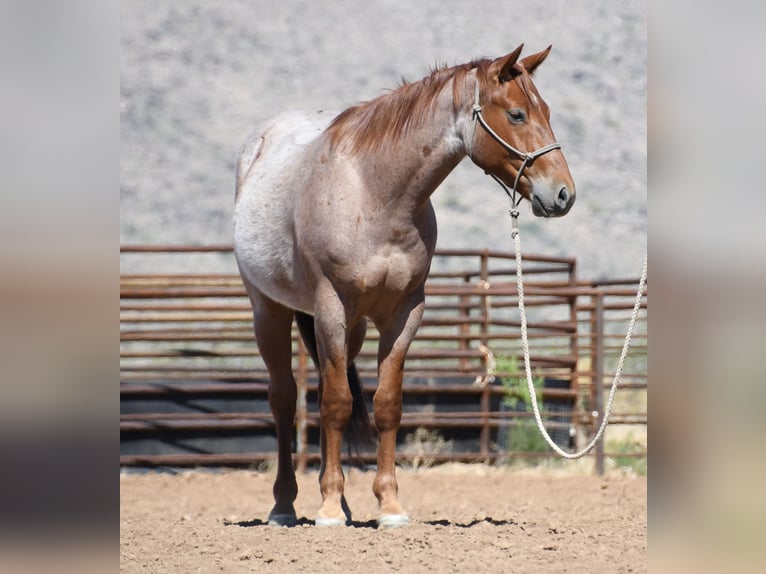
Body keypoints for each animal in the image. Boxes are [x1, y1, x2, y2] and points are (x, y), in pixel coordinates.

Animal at [233, 44, 575, 527]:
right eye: (516, 114)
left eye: (545, 110)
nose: (563, 194)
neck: (374, 193)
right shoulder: (332, 307)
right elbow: (335, 404)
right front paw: (328, 511)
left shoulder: (404, 313)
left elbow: (385, 404)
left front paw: (387, 506)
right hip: (269, 311)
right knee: (283, 399)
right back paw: (285, 505)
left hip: (352, 329)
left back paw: (340, 502)